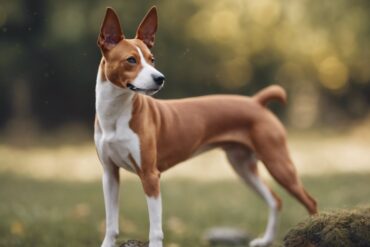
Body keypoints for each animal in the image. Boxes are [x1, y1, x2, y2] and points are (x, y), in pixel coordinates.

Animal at [94, 5, 316, 247]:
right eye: (131, 60)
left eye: (152, 59)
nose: (160, 78)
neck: (115, 116)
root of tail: (256, 102)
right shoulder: (110, 174)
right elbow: (111, 224)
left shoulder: (150, 175)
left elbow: (155, 229)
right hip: (244, 166)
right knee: (275, 200)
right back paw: (265, 240)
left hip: (278, 163)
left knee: (310, 202)